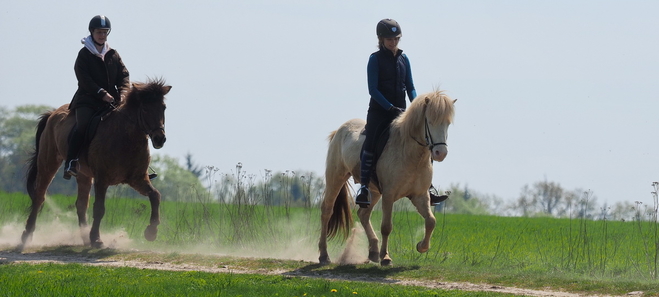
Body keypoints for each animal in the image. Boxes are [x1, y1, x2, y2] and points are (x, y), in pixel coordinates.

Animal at [21, 77, 173, 249]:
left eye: (163, 108)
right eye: (145, 109)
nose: (160, 139)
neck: (125, 138)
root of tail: (52, 113)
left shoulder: (137, 179)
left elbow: (155, 196)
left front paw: (151, 232)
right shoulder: (102, 179)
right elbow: (99, 208)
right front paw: (96, 239)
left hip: (83, 174)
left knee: (81, 204)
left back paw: (84, 237)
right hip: (48, 163)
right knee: (39, 196)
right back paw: (27, 235)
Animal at [318, 89, 454, 264]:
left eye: (447, 123)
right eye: (429, 122)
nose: (440, 153)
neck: (411, 154)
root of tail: (339, 130)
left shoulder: (420, 195)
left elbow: (431, 221)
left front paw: (421, 247)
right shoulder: (389, 195)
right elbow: (386, 226)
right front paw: (386, 257)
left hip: (373, 191)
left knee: (363, 214)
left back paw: (373, 251)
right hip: (336, 177)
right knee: (327, 211)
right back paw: (324, 255)